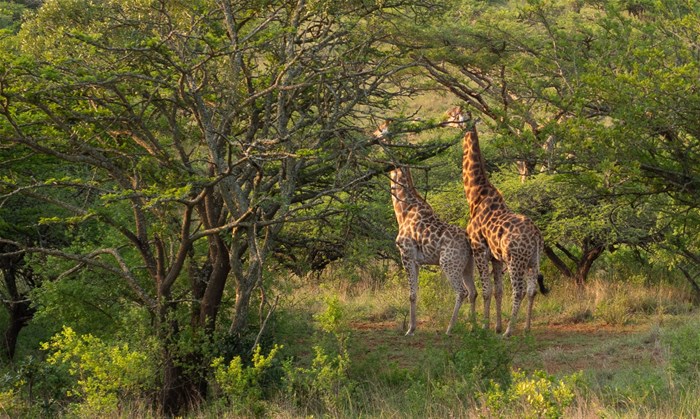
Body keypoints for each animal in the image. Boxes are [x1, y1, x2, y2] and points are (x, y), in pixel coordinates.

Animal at [374, 121, 477, 336]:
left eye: (380, 129)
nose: (371, 136)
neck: (404, 210)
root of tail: (468, 241)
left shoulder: (407, 254)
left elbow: (411, 294)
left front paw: (410, 329)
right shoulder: (418, 261)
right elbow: (415, 293)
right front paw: (412, 327)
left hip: (449, 263)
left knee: (462, 292)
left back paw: (450, 328)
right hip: (467, 265)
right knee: (473, 292)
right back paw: (475, 327)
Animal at [445, 107, 549, 337]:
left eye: (453, 114)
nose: (443, 120)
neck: (475, 195)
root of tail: (536, 235)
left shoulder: (479, 249)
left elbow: (486, 290)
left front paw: (485, 327)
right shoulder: (495, 257)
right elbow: (498, 291)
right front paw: (497, 326)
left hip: (516, 260)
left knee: (519, 291)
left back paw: (510, 330)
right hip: (533, 260)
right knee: (531, 290)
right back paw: (526, 328)